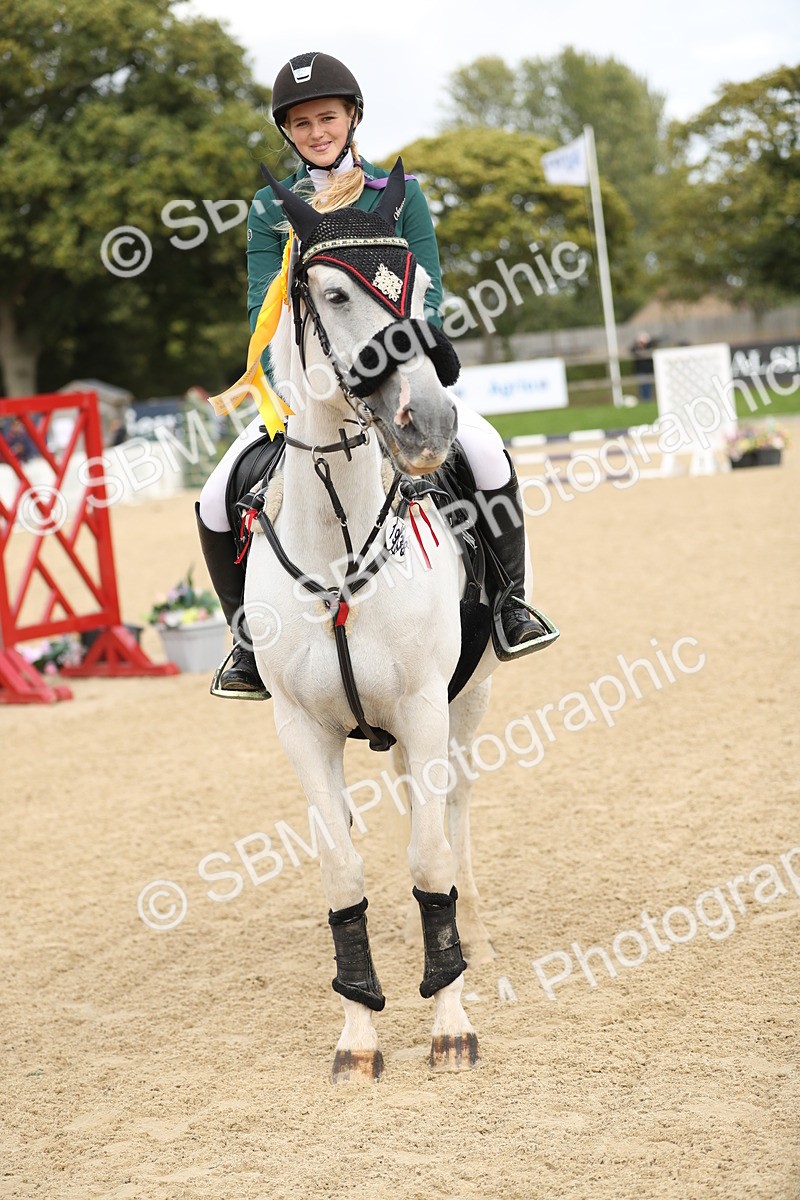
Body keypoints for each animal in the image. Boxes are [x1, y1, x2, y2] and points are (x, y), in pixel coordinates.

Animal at [242, 161, 529, 1082]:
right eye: (332, 293)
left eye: (420, 287)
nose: (426, 423)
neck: (338, 554)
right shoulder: (301, 729)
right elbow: (342, 874)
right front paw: (358, 1033)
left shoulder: (425, 705)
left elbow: (431, 856)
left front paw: (449, 1021)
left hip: (468, 698)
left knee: (453, 813)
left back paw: (471, 938)